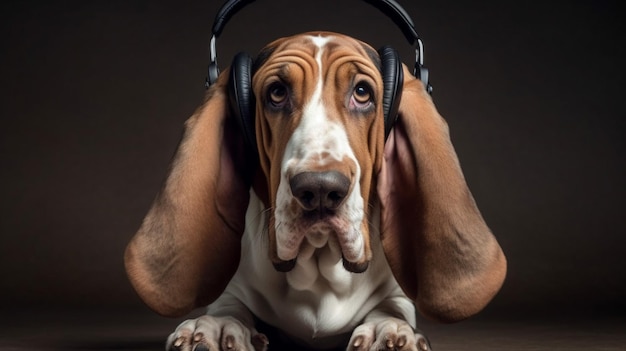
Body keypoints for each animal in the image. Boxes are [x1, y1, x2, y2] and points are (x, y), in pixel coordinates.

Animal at [124, 28, 504, 351]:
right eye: (277, 93)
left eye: (362, 93)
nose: (321, 190)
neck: (319, 266)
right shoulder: (232, 290)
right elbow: (228, 308)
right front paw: (215, 328)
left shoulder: (395, 295)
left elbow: (391, 309)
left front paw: (390, 330)